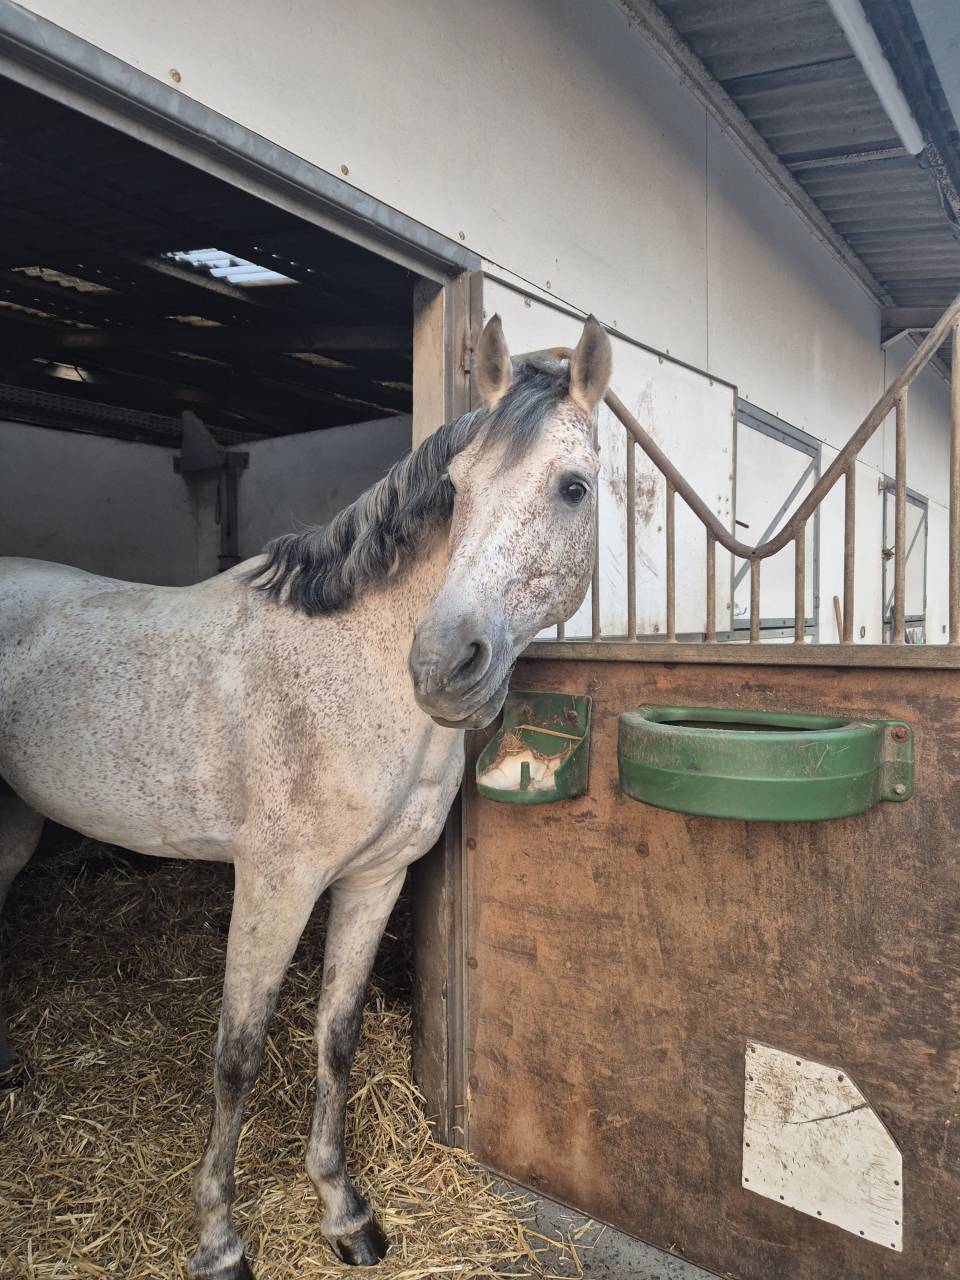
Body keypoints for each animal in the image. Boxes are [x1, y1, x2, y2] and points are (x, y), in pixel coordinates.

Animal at [0, 313, 612, 1278]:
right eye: (457, 491)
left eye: (573, 489)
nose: (444, 665)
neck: (354, 674)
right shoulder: (274, 884)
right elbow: (237, 1055)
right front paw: (217, 1239)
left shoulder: (374, 880)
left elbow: (336, 1035)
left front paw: (344, 1211)